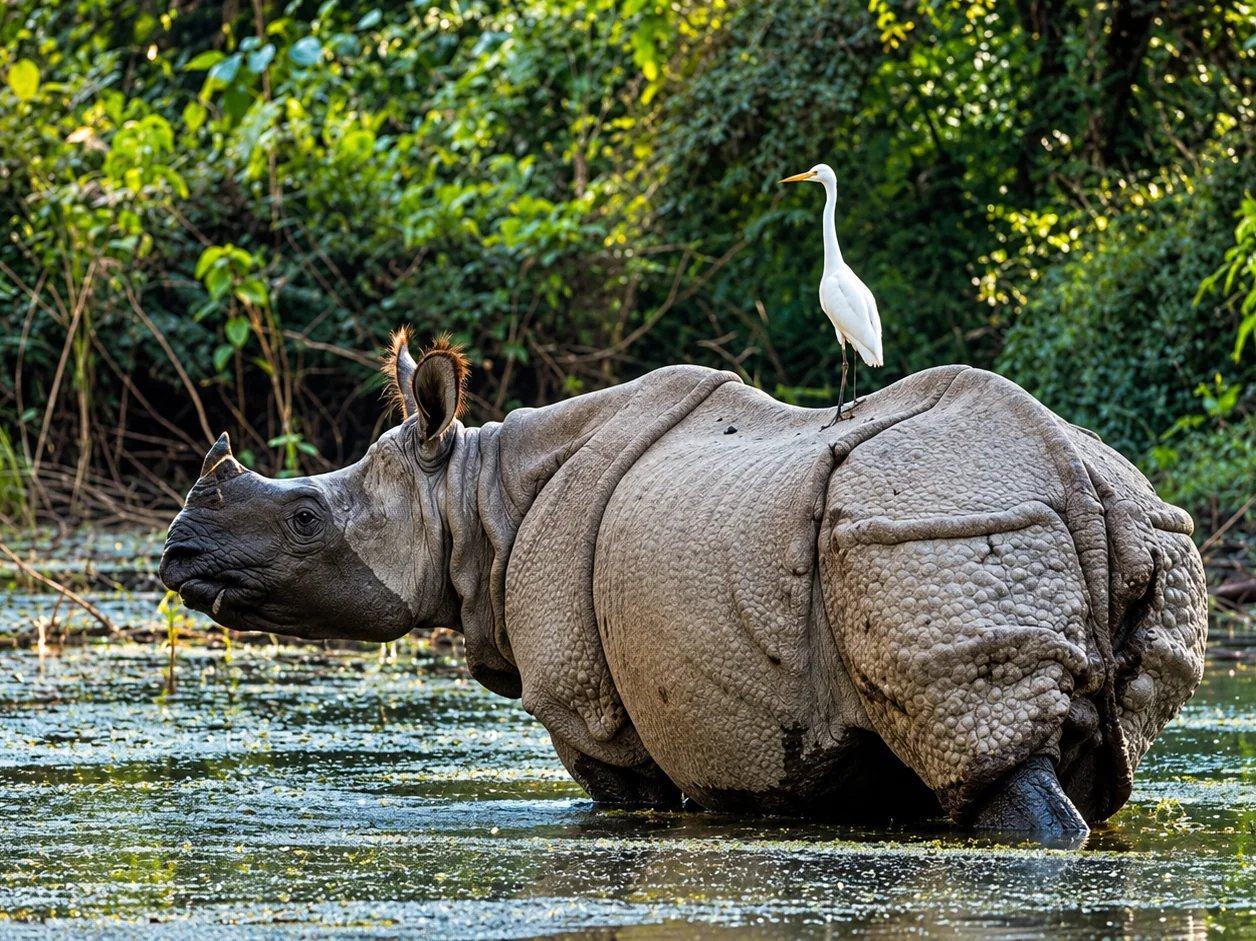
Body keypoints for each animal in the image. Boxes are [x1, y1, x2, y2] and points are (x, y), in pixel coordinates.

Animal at [160, 331, 1208, 842]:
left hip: (938, 525)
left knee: (996, 767)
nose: (175, 555)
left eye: (305, 516)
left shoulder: (589, 711)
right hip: (1120, 530)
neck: (472, 492)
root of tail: (1075, 478)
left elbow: (619, 801)